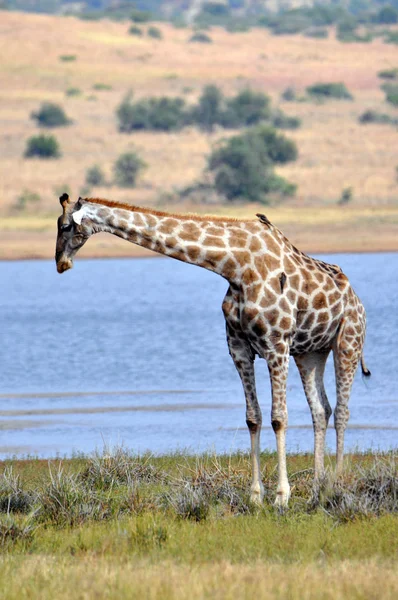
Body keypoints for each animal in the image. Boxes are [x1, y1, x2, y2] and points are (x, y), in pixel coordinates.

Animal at [56, 196, 370, 506]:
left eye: (66, 226)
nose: (60, 263)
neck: (236, 267)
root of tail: (357, 301)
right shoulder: (239, 349)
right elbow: (253, 418)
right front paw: (256, 496)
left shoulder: (276, 344)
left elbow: (278, 418)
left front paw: (282, 497)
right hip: (310, 352)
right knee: (321, 409)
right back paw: (317, 487)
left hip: (348, 342)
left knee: (342, 411)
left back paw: (335, 486)